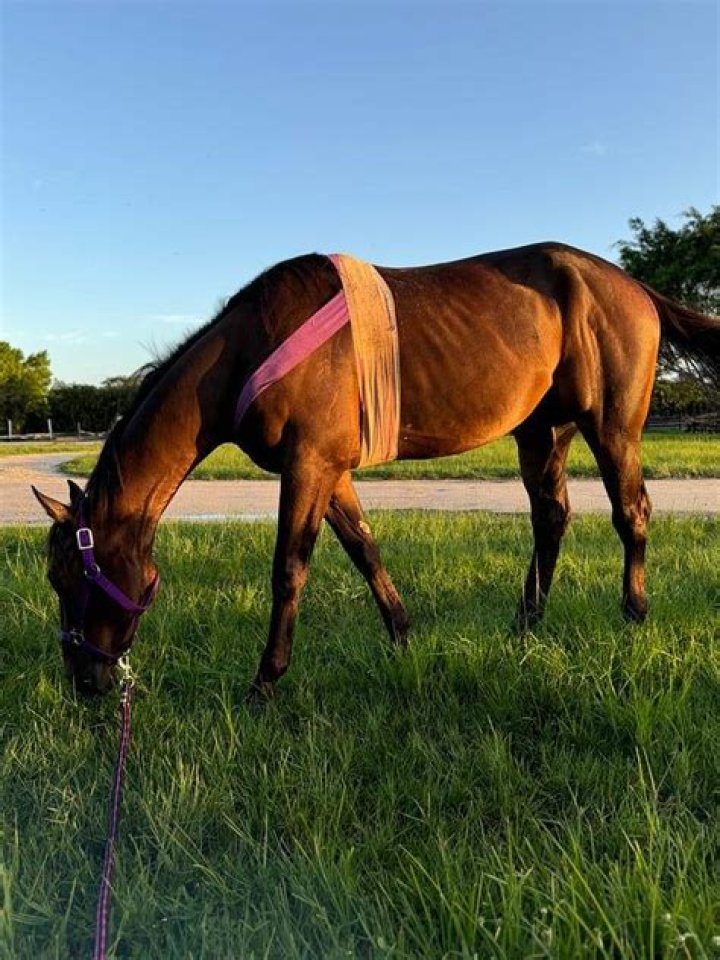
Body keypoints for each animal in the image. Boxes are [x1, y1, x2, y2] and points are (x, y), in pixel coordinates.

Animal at [33, 243, 719, 701]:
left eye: (70, 576)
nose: (85, 681)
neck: (250, 349)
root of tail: (631, 285)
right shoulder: (330, 469)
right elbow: (364, 549)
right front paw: (402, 635)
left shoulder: (309, 464)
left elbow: (289, 568)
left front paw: (265, 681)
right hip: (542, 431)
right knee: (552, 517)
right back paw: (525, 625)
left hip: (611, 427)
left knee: (631, 512)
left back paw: (634, 614)